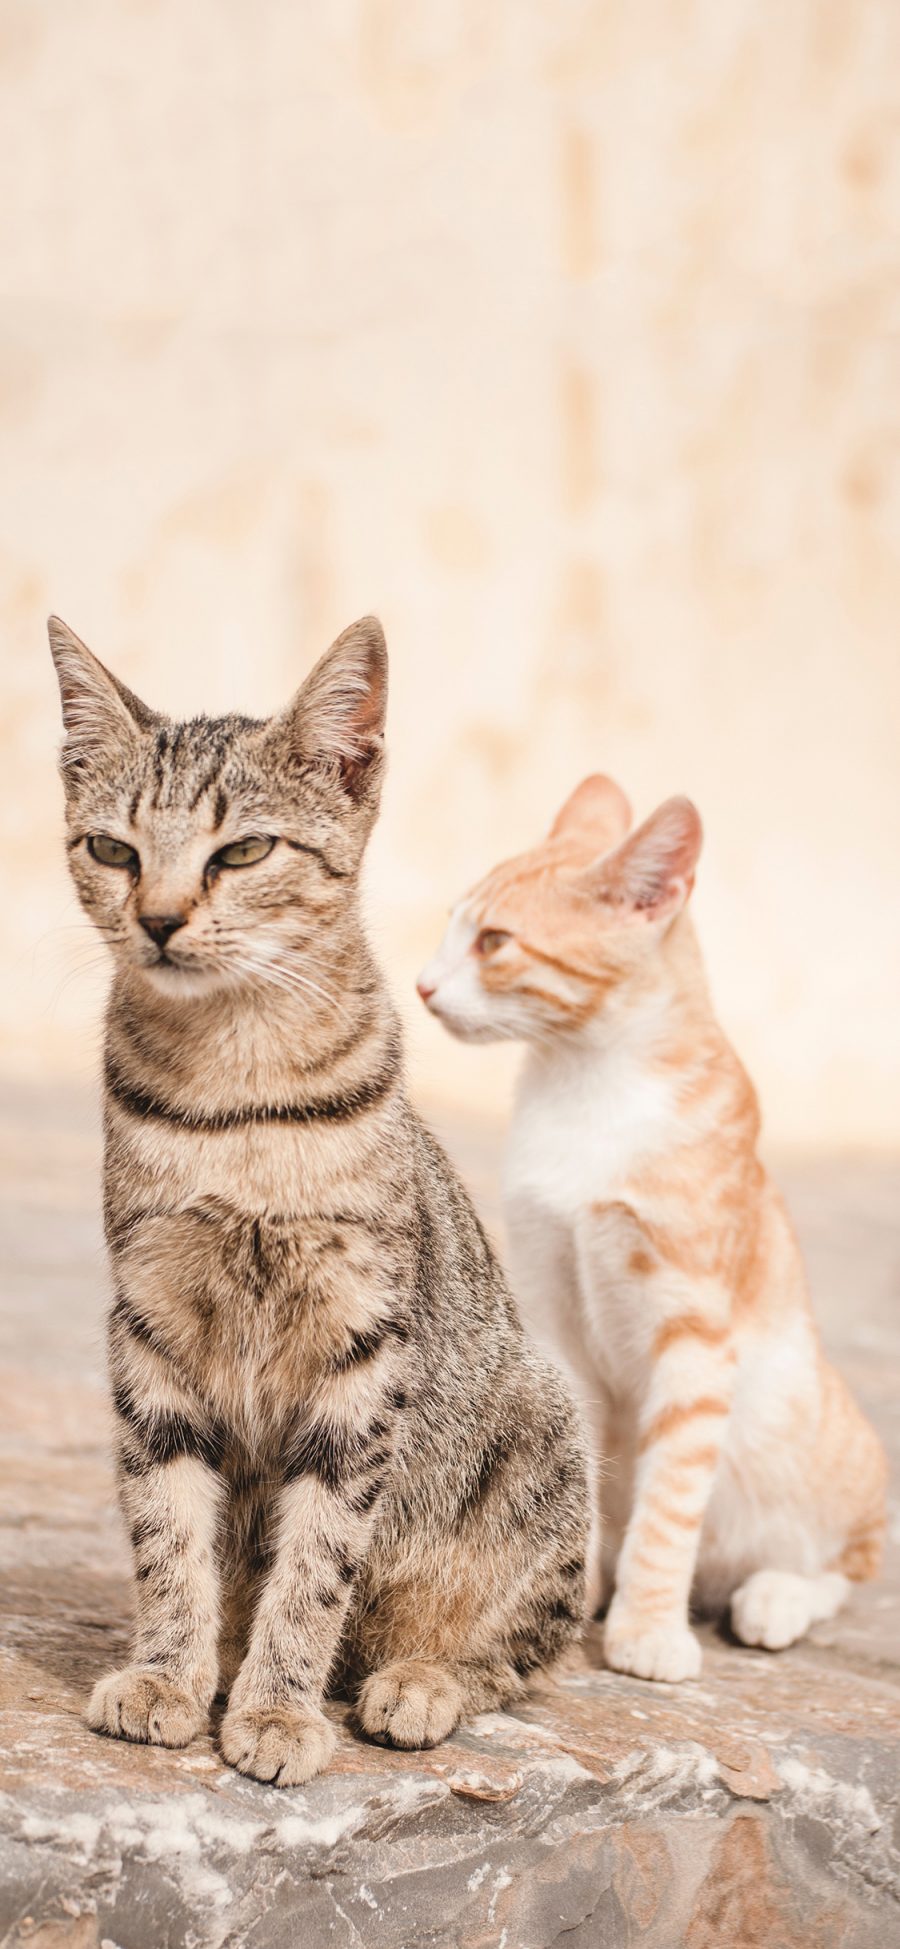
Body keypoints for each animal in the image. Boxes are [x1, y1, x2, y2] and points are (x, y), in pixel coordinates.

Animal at [49, 611, 588, 1785]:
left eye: (243, 851)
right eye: (113, 849)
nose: (158, 919)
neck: (234, 1090)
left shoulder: (362, 1346)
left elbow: (318, 1561)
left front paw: (277, 1707)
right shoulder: (149, 1325)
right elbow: (168, 1532)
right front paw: (170, 1671)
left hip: (546, 1430)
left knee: (518, 1648)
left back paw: (415, 1681)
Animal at [420, 767, 884, 1683]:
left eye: (493, 941)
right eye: (454, 928)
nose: (422, 984)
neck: (583, 1086)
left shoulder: (695, 1336)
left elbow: (669, 1502)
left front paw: (646, 1629)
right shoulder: (554, 1313)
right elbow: (581, 1480)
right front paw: (571, 1593)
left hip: (815, 1450)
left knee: (844, 1564)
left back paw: (775, 1596)